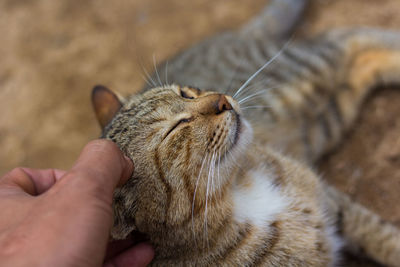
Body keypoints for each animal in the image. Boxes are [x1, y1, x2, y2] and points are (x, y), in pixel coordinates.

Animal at [91, 0, 400, 266]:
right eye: (175, 129)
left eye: (185, 93)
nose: (221, 100)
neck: (238, 193)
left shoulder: (333, 201)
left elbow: (381, 234)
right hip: (325, 114)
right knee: (356, 50)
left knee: (350, 38)